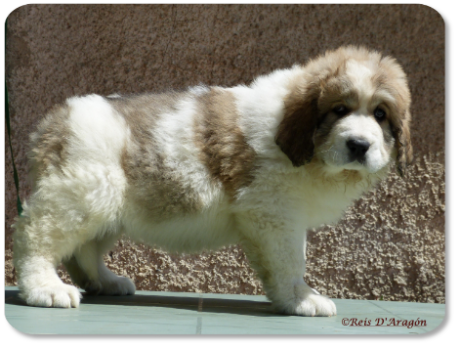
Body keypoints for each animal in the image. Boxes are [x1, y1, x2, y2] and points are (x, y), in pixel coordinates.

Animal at [12, 45, 412, 316]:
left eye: (380, 114)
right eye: (339, 110)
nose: (359, 145)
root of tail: (51, 124)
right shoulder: (274, 214)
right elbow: (290, 262)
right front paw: (302, 298)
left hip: (105, 204)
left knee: (86, 250)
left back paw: (105, 282)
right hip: (81, 194)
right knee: (34, 238)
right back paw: (45, 288)